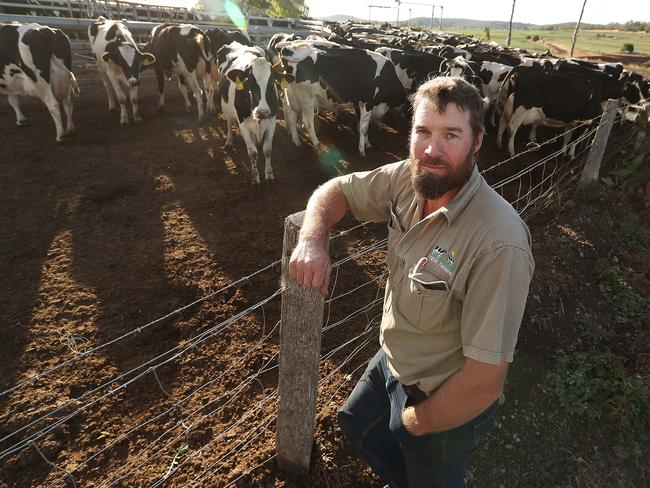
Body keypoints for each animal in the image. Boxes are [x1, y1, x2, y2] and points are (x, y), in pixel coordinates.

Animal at [216, 43, 280, 185]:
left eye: (272, 83)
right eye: (249, 82)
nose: (262, 112)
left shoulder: (271, 121)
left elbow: (268, 150)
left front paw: (269, 174)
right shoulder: (243, 124)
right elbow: (253, 153)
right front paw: (255, 178)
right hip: (226, 108)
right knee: (229, 122)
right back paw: (229, 141)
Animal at [274, 42, 404, 157]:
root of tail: (288, 49)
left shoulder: (359, 104)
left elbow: (361, 124)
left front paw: (367, 143)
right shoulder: (368, 103)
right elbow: (364, 128)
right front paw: (362, 150)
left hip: (293, 97)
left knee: (292, 116)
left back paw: (296, 141)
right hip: (307, 98)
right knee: (308, 123)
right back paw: (317, 145)